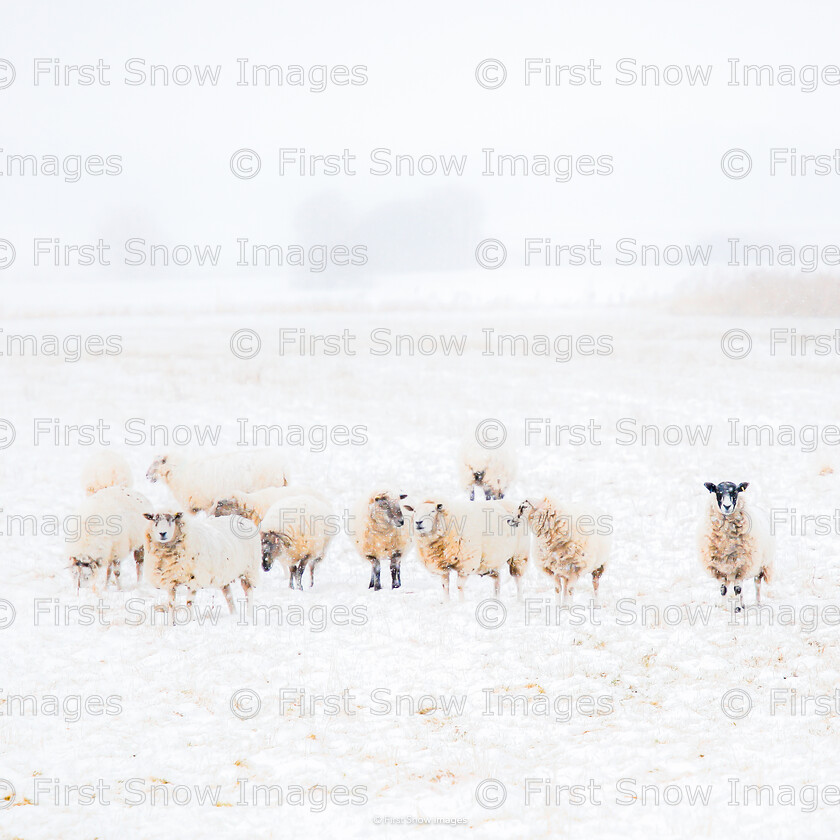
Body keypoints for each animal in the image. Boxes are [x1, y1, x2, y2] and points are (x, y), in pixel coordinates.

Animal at [696, 482, 776, 612]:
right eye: (717, 492)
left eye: (735, 492)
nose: (727, 506)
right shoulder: (719, 569)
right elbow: (723, 590)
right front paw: (724, 607)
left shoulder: (742, 566)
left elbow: (737, 590)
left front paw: (737, 608)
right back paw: (743, 604)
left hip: (761, 565)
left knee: (757, 585)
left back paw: (757, 604)